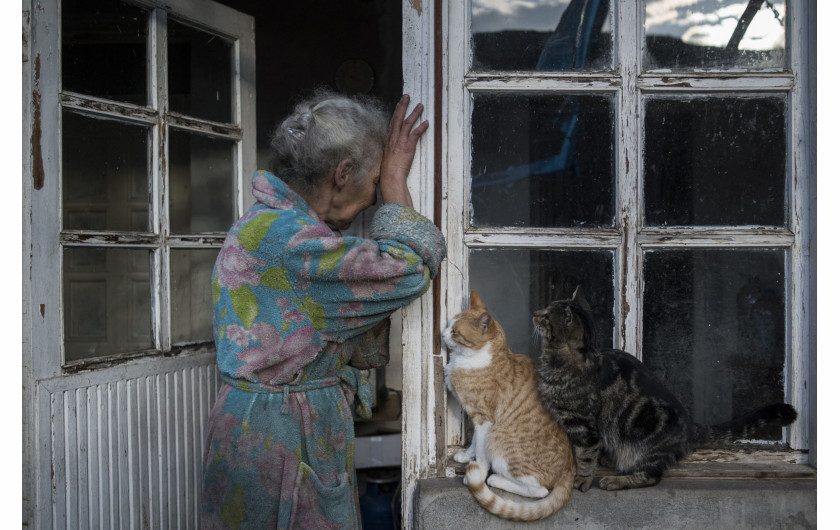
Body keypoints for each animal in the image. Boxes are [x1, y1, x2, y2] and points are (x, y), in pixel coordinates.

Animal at [442, 288, 576, 520]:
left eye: (455, 332)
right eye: (449, 325)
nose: (441, 334)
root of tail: (569, 469)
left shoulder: (485, 419)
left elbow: (481, 452)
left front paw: (476, 472)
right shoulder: (478, 418)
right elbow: (474, 443)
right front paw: (466, 456)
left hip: (499, 439)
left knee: (540, 490)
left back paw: (495, 479)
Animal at [536, 286, 796, 488]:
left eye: (547, 315)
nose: (536, 313)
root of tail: (692, 427)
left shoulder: (582, 426)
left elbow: (585, 456)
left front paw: (581, 479)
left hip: (645, 446)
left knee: (651, 476)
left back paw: (616, 480)